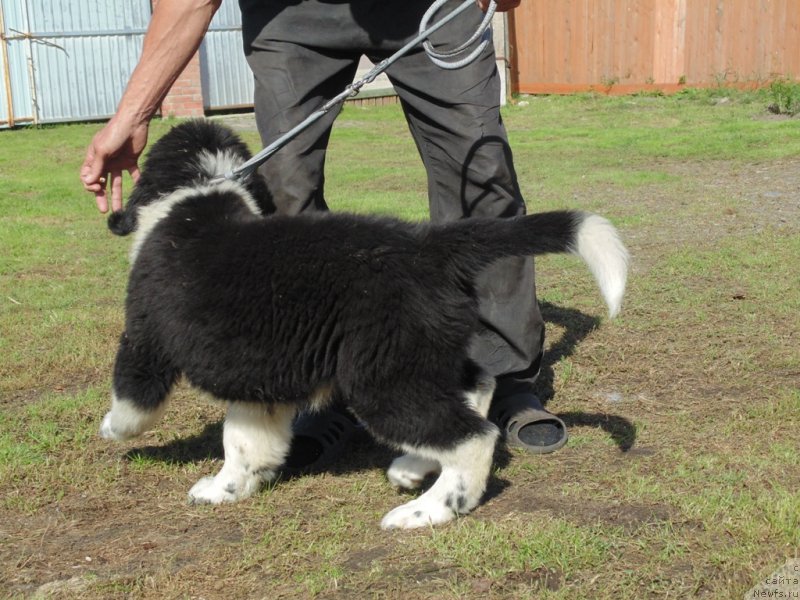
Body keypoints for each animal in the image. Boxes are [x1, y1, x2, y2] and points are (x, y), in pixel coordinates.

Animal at [100, 119, 628, 528]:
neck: (200, 192)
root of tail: (428, 247)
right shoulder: (260, 375)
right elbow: (246, 441)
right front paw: (226, 489)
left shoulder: (146, 336)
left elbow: (134, 396)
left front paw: (113, 430)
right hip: (422, 350)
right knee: (477, 388)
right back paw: (413, 468)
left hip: (380, 376)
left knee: (473, 437)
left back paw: (430, 510)